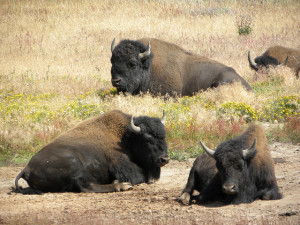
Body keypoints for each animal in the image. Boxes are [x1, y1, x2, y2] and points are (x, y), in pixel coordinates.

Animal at [14, 110, 169, 193]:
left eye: (164, 136)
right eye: (147, 139)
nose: (165, 159)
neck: (125, 137)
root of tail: (26, 169)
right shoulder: (123, 165)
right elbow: (139, 176)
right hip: (74, 163)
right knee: (86, 186)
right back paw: (122, 185)